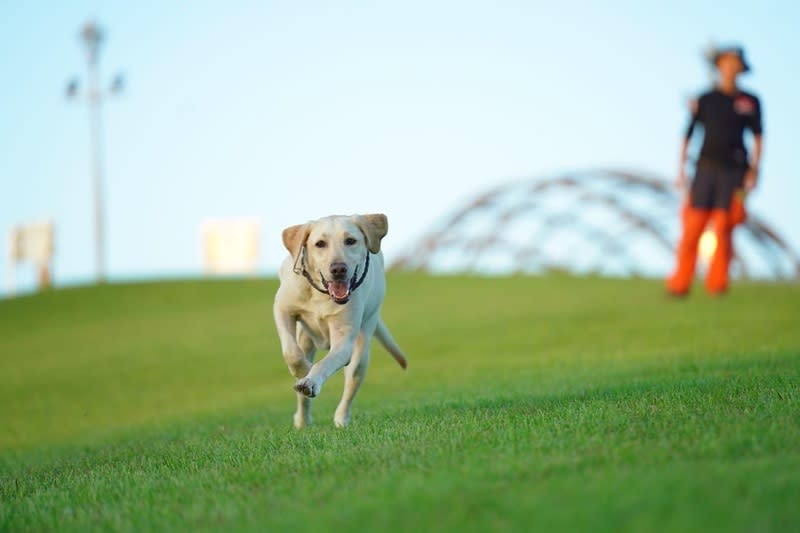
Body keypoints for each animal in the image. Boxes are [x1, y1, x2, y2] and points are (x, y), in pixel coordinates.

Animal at [274, 214, 406, 426]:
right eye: (320, 244)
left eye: (350, 241)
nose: (338, 269)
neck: (322, 294)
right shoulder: (282, 309)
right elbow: (291, 352)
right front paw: (304, 371)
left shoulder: (344, 342)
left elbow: (324, 364)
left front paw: (310, 380)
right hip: (305, 337)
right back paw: (302, 421)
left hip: (364, 340)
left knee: (352, 378)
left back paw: (341, 418)